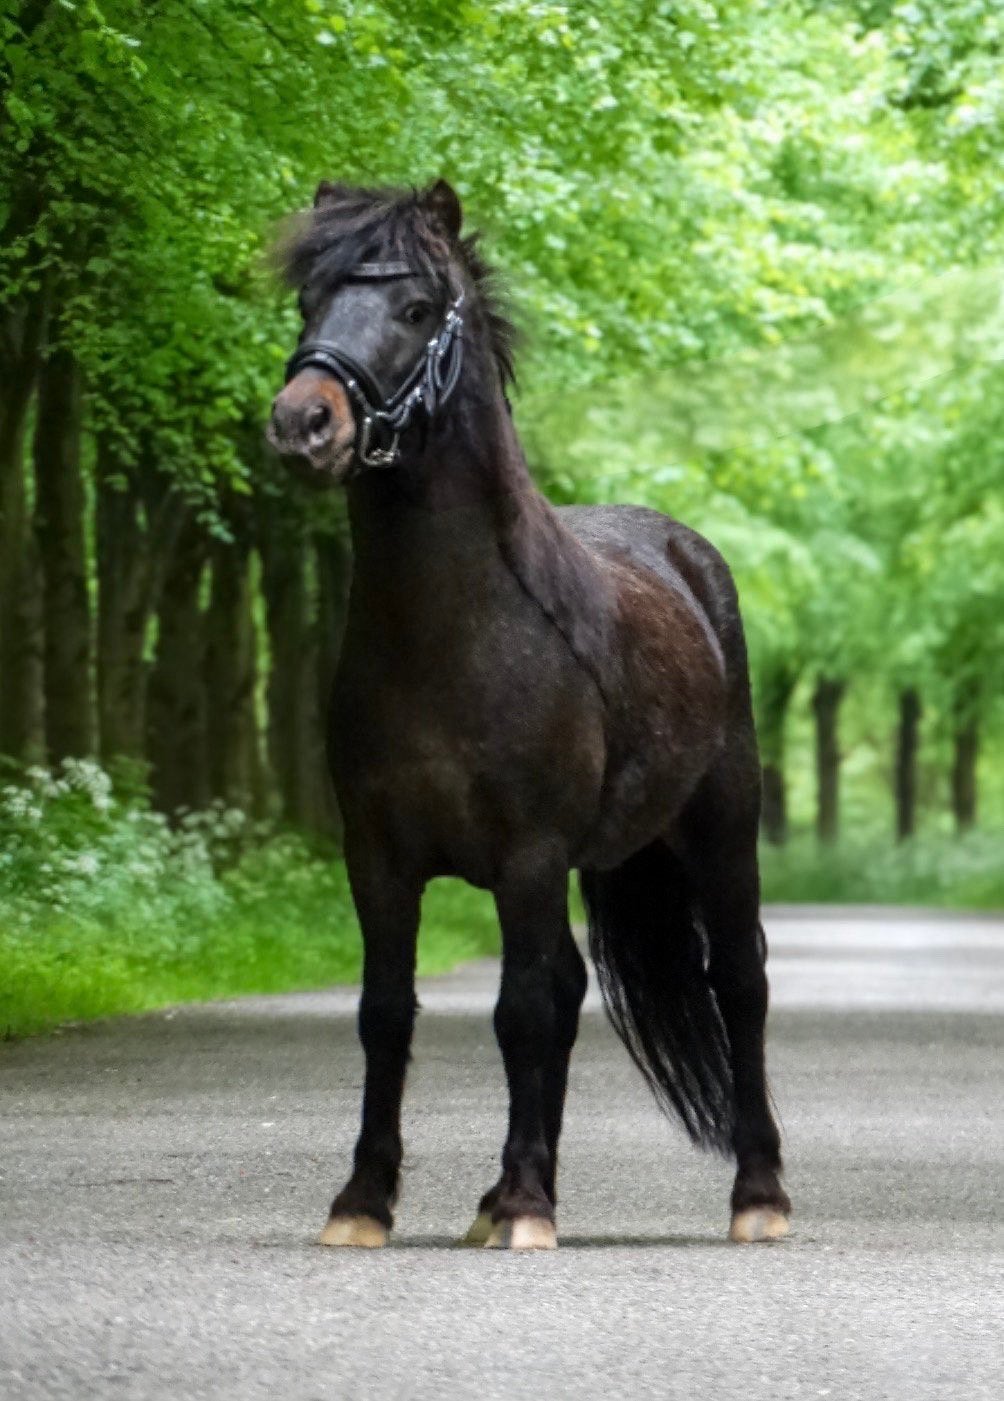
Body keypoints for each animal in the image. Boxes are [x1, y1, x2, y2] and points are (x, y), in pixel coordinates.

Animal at [266, 178, 790, 1250]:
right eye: (311, 300)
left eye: (416, 308)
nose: (303, 422)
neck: (451, 634)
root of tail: (687, 555)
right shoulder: (376, 855)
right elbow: (388, 1012)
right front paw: (366, 1201)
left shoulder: (529, 854)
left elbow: (519, 1013)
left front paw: (523, 1204)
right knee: (571, 987)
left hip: (721, 834)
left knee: (739, 983)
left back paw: (757, 1195)